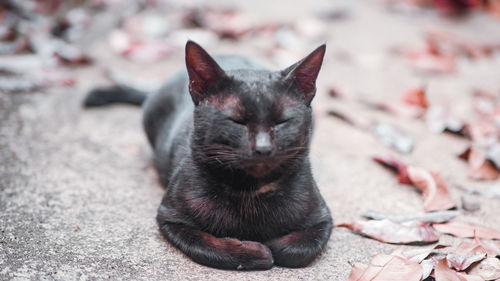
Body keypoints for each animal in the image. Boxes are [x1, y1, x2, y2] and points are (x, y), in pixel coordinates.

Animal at [84, 41, 334, 270]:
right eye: (237, 121)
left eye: (282, 121)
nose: (263, 148)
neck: (249, 191)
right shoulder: (170, 218)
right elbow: (207, 246)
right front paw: (255, 252)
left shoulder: (323, 218)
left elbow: (295, 251)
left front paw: (273, 244)